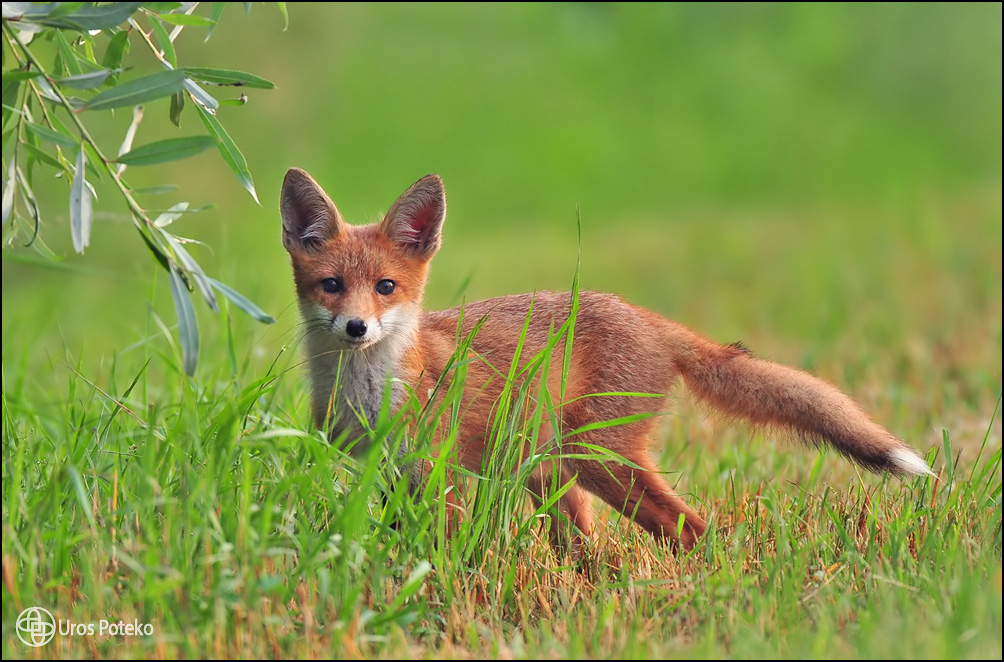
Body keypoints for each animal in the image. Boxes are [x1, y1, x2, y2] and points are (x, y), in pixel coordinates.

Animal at [281, 168, 931, 550]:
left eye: (386, 287)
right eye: (331, 285)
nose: (357, 327)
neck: (370, 395)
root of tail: (645, 317)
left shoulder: (437, 472)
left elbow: (439, 550)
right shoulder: (387, 472)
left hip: (599, 461)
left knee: (691, 528)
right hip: (553, 474)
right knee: (595, 553)